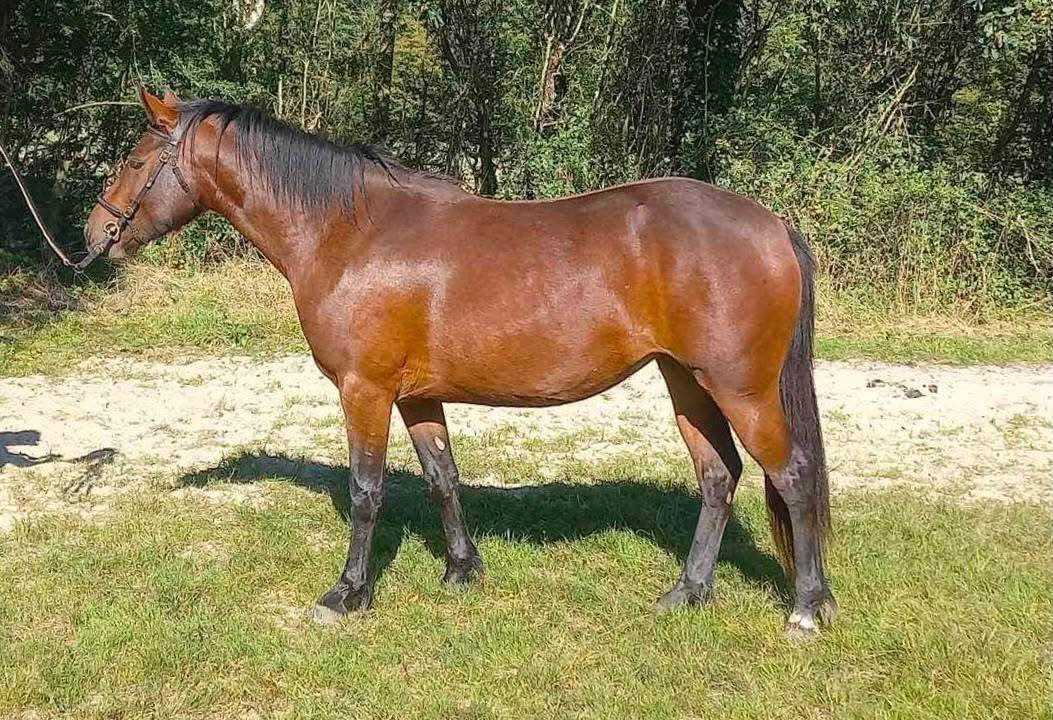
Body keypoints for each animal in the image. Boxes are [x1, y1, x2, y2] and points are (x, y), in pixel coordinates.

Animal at [84, 88, 837, 635]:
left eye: (133, 161)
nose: (93, 236)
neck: (349, 233)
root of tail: (771, 224)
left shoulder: (363, 390)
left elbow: (367, 492)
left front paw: (346, 595)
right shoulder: (416, 395)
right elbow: (442, 477)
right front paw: (462, 571)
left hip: (741, 389)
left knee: (792, 473)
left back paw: (806, 607)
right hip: (686, 382)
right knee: (718, 476)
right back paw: (687, 591)